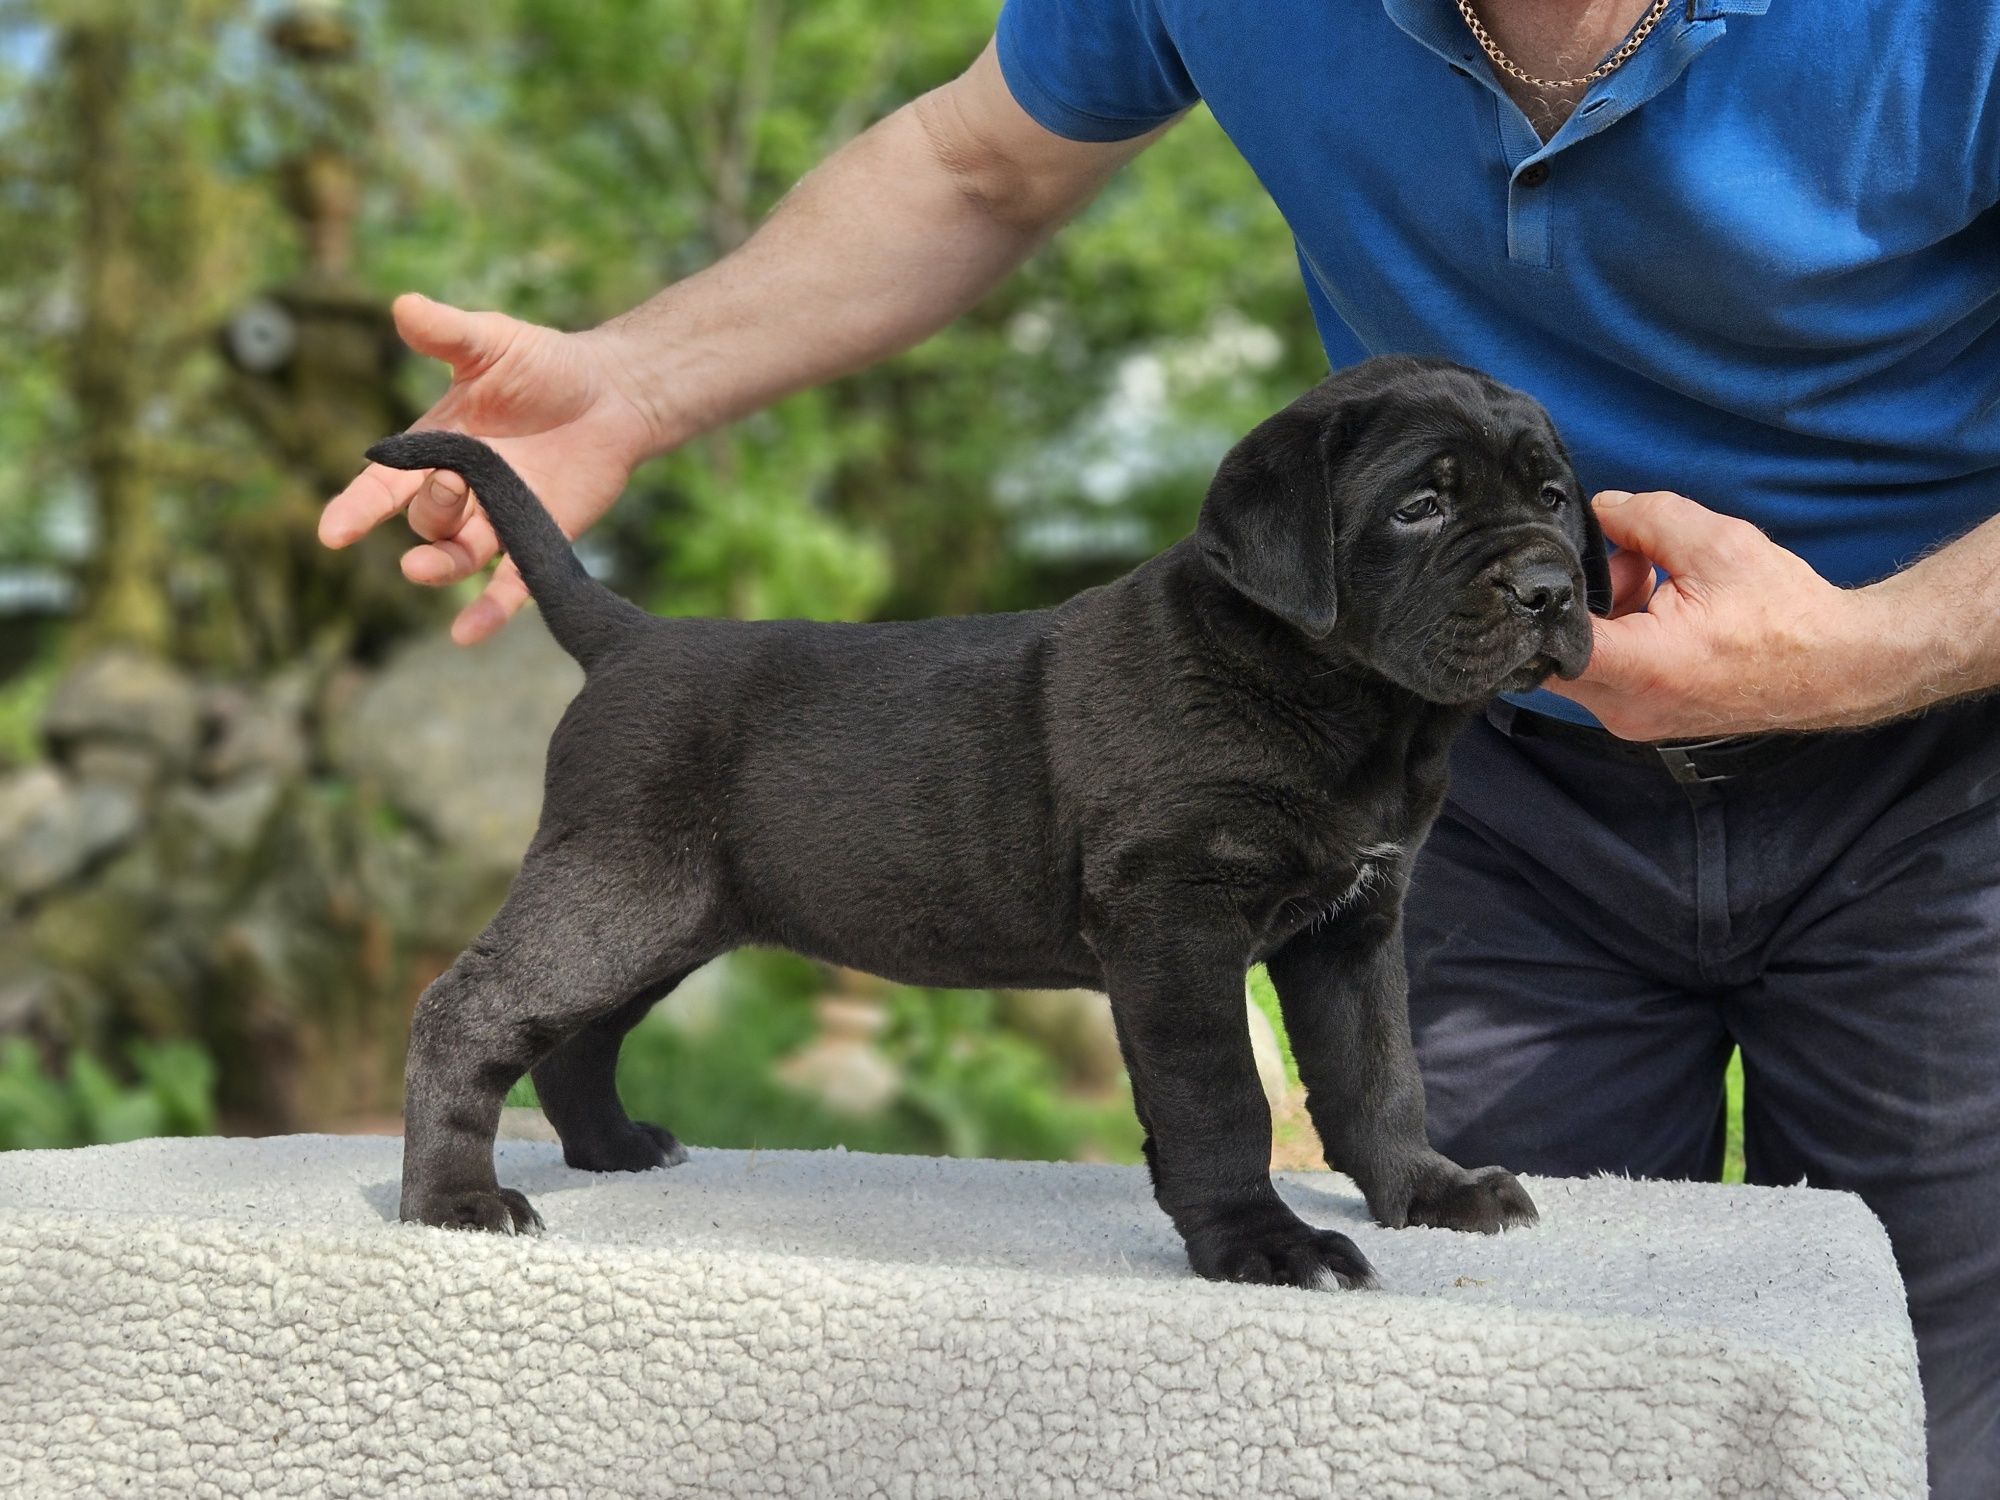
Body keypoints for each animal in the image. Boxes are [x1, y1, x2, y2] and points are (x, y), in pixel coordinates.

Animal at [364, 356, 1608, 1296]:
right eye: (1418, 505)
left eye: (1551, 497)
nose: (1551, 590)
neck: (1348, 708)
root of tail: (627, 635)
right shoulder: (1175, 921)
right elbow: (1221, 1100)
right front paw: (1265, 1247)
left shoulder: (1350, 928)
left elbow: (1376, 1074)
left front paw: (1428, 1191)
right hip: (615, 892)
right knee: (467, 1009)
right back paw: (454, 1203)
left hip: (671, 915)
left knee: (577, 1035)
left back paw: (612, 1151)